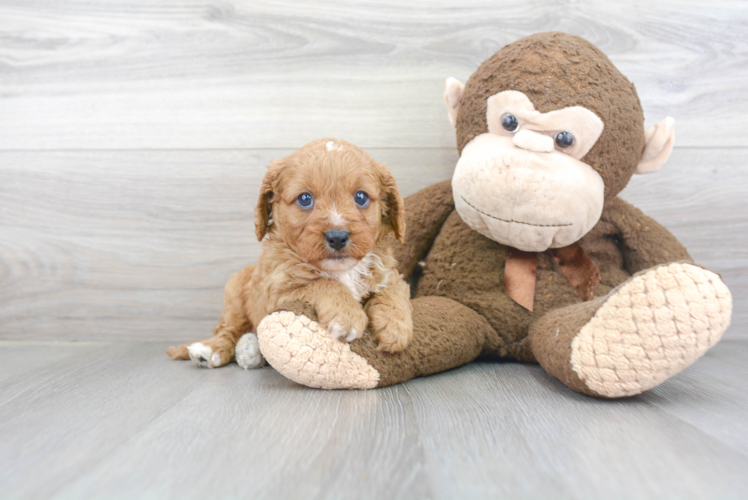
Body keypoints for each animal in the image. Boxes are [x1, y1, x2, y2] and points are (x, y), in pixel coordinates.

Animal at [167, 139, 412, 370]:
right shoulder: (277, 291)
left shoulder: (390, 274)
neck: (343, 270)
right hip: (234, 294)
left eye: (361, 197)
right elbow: (323, 283)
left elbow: (393, 291)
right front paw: (347, 315)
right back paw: (210, 351)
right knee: (228, 329)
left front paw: (396, 327)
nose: (337, 237)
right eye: (305, 199)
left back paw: (250, 350)